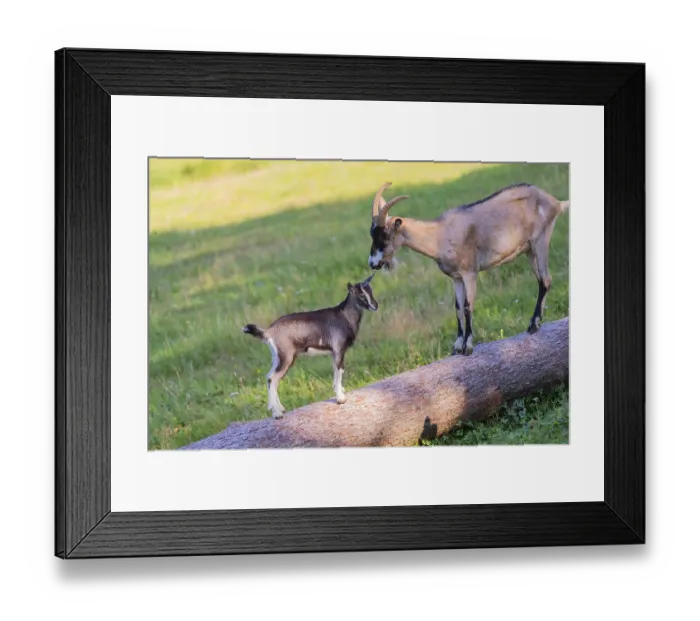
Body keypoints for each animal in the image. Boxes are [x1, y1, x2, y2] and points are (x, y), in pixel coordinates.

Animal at [242, 274, 379, 419]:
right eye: (361, 294)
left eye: (370, 290)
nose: (375, 305)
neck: (344, 316)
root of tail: (268, 331)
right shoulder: (338, 349)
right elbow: (340, 370)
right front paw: (340, 399)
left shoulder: (334, 352)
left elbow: (336, 370)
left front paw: (339, 391)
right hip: (286, 357)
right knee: (272, 378)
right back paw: (277, 413)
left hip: (278, 357)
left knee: (270, 378)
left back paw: (280, 408)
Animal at [367, 181, 569, 356]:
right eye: (372, 234)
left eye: (385, 236)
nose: (372, 263)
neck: (439, 235)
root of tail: (555, 202)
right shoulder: (456, 277)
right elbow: (457, 307)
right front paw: (457, 345)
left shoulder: (470, 272)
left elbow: (467, 306)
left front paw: (468, 346)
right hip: (528, 250)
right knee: (542, 279)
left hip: (540, 239)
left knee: (545, 280)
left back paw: (533, 325)